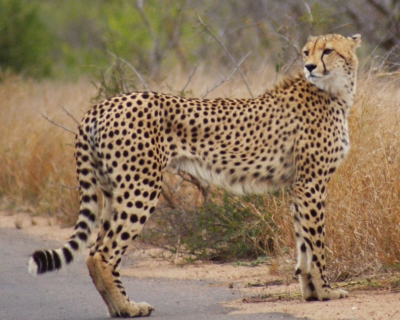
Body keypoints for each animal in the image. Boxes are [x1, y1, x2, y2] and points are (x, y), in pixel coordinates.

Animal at [27, 33, 360, 316]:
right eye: (307, 51)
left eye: (327, 50)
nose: (309, 66)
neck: (335, 90)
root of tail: (101, 105)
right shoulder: (312, 184)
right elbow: (316, 243)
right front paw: (326, 291)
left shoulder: (299, 186)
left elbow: (304, 243)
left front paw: (311, 292)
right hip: (141, 188)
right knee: (103, 253)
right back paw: (127, 308)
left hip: (113, 189)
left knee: (94, 250)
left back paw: (120, 306)